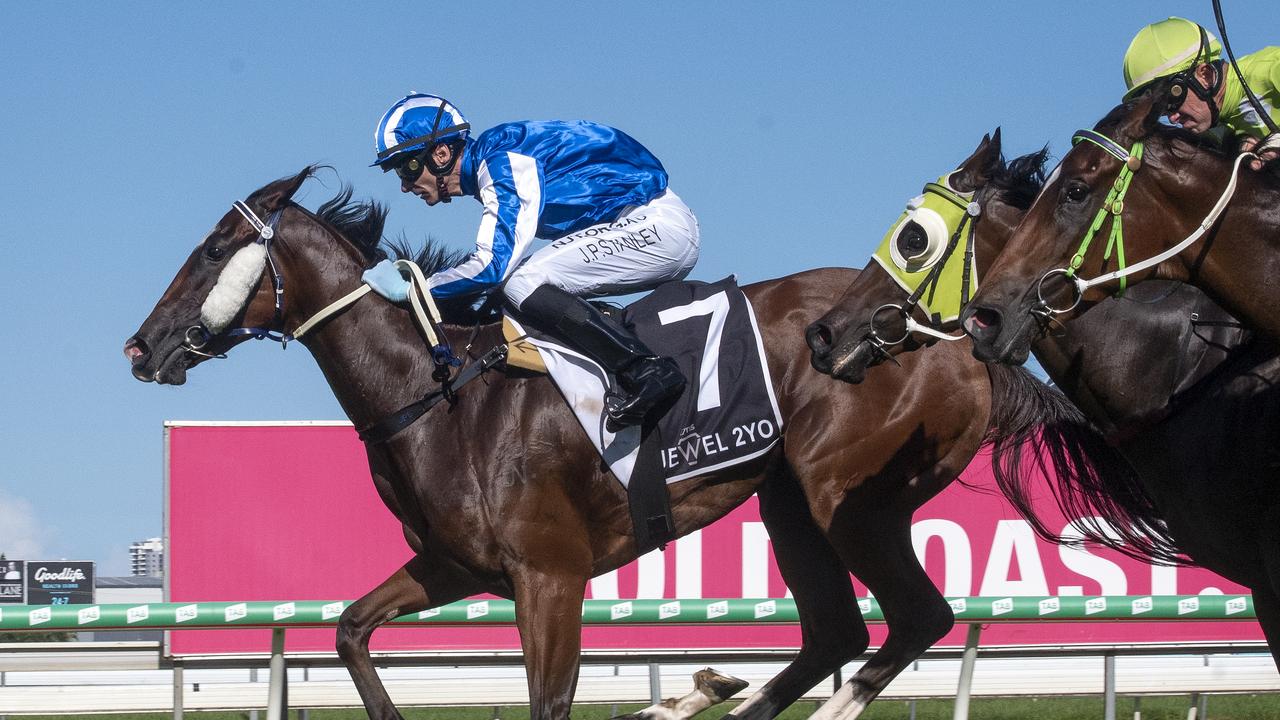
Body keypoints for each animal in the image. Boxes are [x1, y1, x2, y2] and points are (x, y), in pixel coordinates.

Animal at [124, 167, 1136, 717]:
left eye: (212, 252)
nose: (140, 346)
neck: (435, 395)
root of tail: (952, 333)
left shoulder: (550, 575)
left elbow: (550, 700)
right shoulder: (457, 567)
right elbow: (348, 632)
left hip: (847, 495)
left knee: (913, 618)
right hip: (789, 504)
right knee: (837, 632)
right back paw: (703, 695)